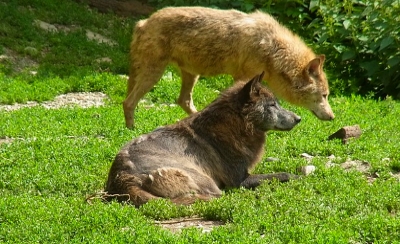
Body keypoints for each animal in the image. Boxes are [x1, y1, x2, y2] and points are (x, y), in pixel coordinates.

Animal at [106, 73, 300, 206]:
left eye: (277, 103)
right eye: (272, 105)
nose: (299, 119)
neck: (236, 124)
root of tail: (121, 175)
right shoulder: (239, 180)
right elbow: (281, 174)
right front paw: (297, 176)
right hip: (205, 180)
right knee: (216, 196)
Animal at [122, 6, 334, 129]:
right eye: (324, 96)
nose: (332, 117)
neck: (273, 50)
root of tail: (143, 22)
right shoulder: (244, 79)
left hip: (190, 75)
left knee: (183, 101)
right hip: (155, 75)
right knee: (128, 102)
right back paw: (132, 130)